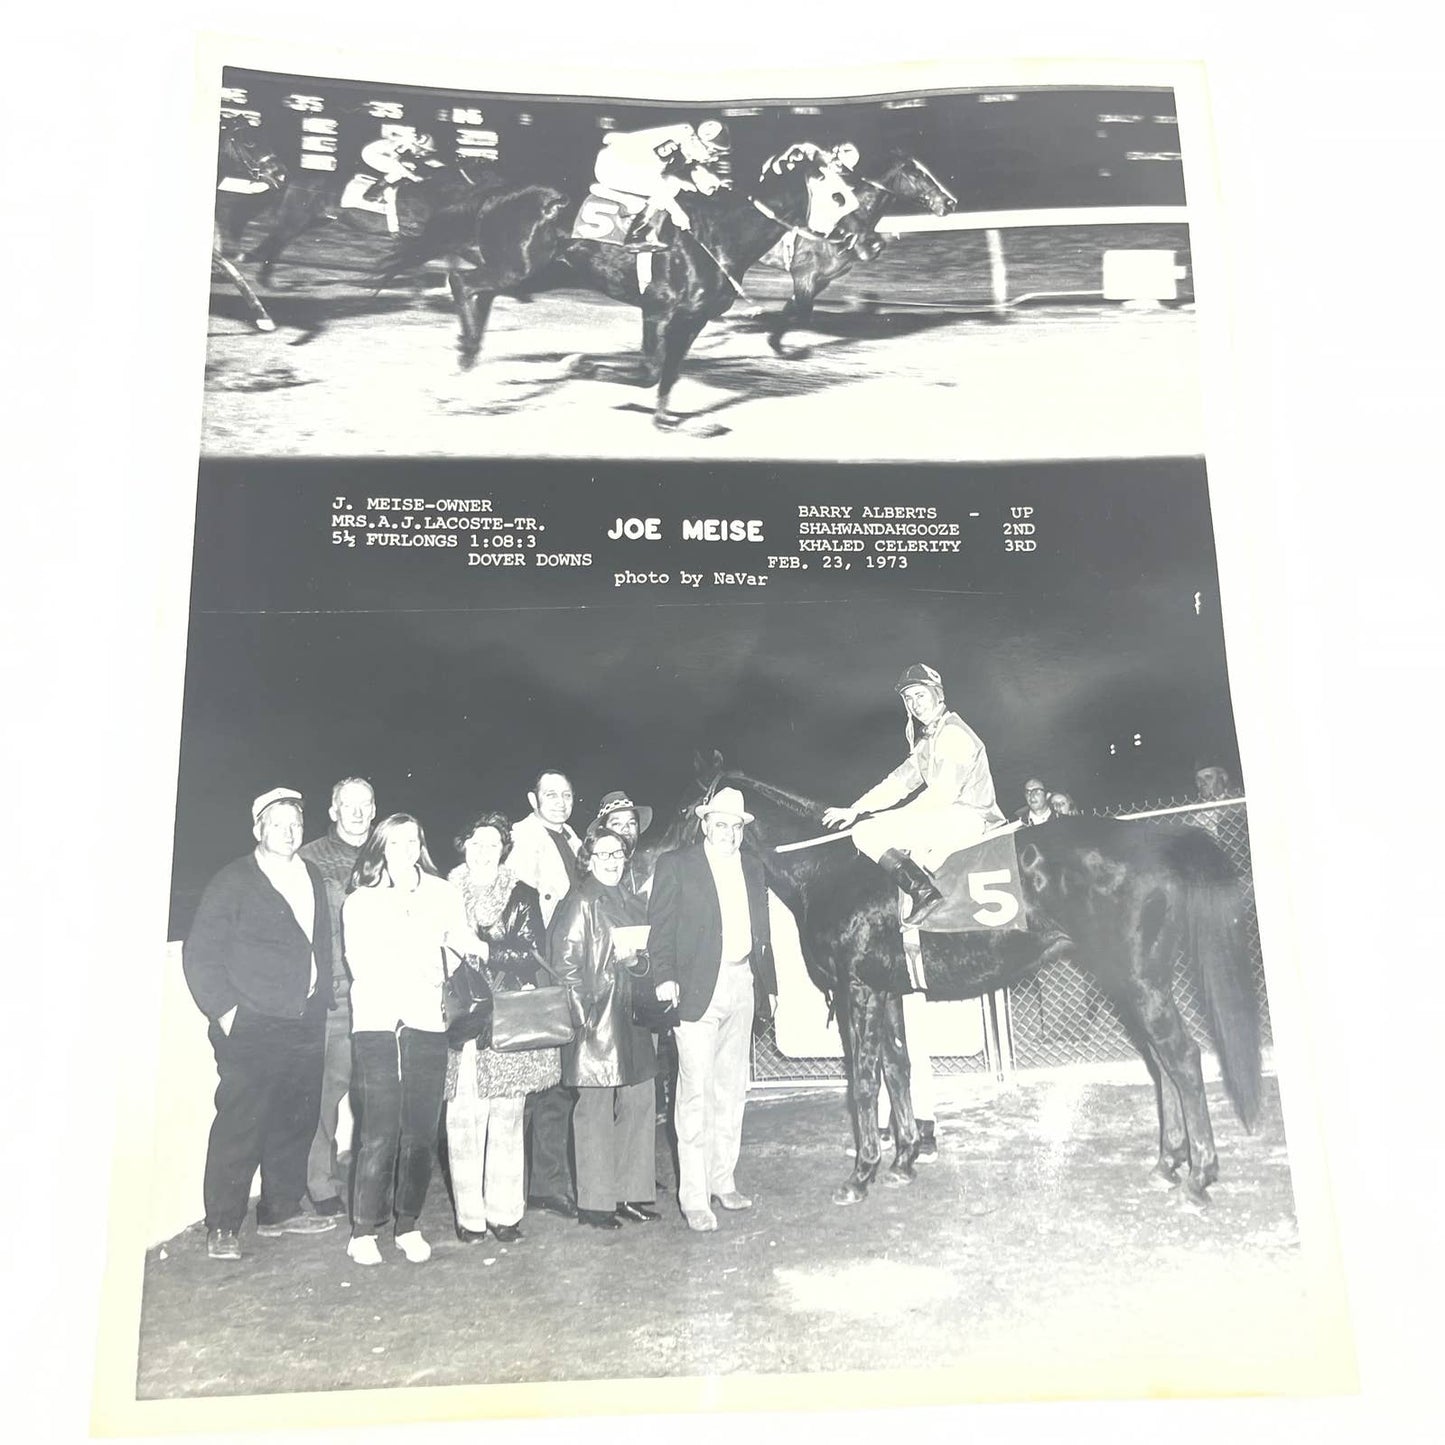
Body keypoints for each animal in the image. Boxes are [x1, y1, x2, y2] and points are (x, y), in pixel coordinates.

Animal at [670, 757, 1260, 1208]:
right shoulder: (888, 991)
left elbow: (863, 1082)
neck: (829, 869)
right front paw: (904, 1158)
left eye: (687, 807)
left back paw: (1199, 1176)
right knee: (1160, 1064)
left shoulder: (857, 989)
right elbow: (899, 1069)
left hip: (1140, 978)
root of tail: (1150, 836)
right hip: (1125, 980)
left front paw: (861, 1175)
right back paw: (1167, 1162)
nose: (656, 855)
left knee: (1181, 1056)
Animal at [757, 152, 959, 358]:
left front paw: (774, 342)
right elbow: (802, 314)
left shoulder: (822, 279)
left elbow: (792, 310)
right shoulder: (804, 275)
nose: (949, 203)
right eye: (917, 175)